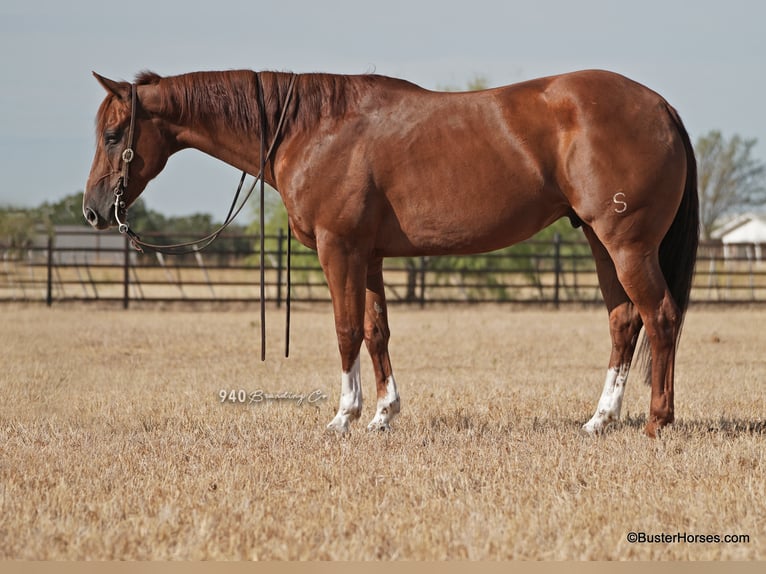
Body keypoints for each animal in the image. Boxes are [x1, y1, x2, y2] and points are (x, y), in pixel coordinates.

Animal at [84, 68, 704, 436]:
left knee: (660, 316)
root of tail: (661, 107)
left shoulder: (338, 249)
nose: (93, 210)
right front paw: (384, 414)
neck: (313, 127)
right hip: (601, 242)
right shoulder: (371, 255)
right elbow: (375, 329)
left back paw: (658, 421)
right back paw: (600, 419)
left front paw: (344, 416)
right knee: (625, 321)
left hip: (627, 245)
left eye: (114, 136)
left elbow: (344, 330)